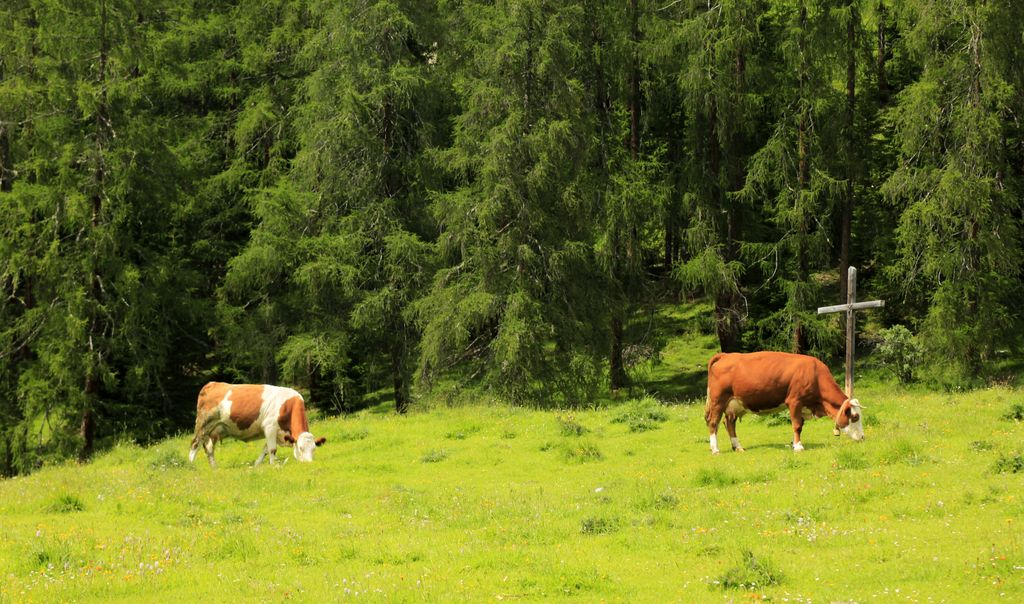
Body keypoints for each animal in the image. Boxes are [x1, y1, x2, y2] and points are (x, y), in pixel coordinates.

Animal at [187, 382, 323, 468]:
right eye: (301, 448)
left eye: (314, 448)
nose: (309, 463)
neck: (287, 406)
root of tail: (212, 384)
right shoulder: (270, 427)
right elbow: (272, 449)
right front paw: (273, 465)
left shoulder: (277, 433)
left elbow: (265, 449)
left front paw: (257, 464)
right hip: (203, 424)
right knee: (195, 444)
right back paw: (191, 465)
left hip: (215, 430)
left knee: (209, 448)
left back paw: (214, 467)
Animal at [708, 352, 868, 456]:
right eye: (855, 417)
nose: (862, 437)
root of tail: (726, 355)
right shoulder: (795, 401)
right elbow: (796, 425)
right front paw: (798, 446)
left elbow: (800, 425)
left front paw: (794, 443)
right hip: (718, 400)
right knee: (713, 423)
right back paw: (715, 449)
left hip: (734, 405)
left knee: (729, 423)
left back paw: (738, 447)